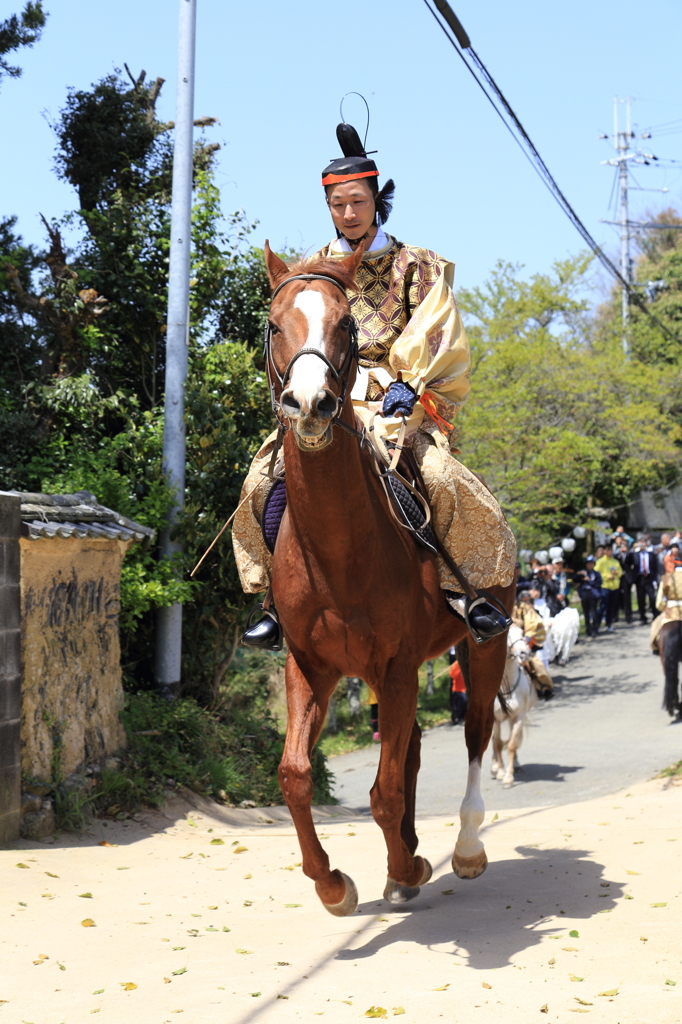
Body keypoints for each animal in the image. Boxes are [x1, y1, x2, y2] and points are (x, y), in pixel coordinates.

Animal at [262, 243, 512, 917]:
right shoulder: (310, 665)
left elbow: (385, 790)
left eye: (346, 325)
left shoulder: (398, 664)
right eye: (273, 324)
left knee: (476, 732)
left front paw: (405, 867)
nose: (310, 403)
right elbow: (295, 776)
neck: (339, 556)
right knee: (417, 747)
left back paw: (465, 848)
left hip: (486, 641)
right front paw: (332, 884)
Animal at [489, 622, 536, 782]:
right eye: (507, 634)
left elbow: (512, 744)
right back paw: (494, 767)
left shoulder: (518, 716)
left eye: (522, 632)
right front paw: (500, 772)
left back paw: (515, 765)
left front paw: (509, 776)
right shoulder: (495, 719)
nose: (524, 653)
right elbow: (497, 743)